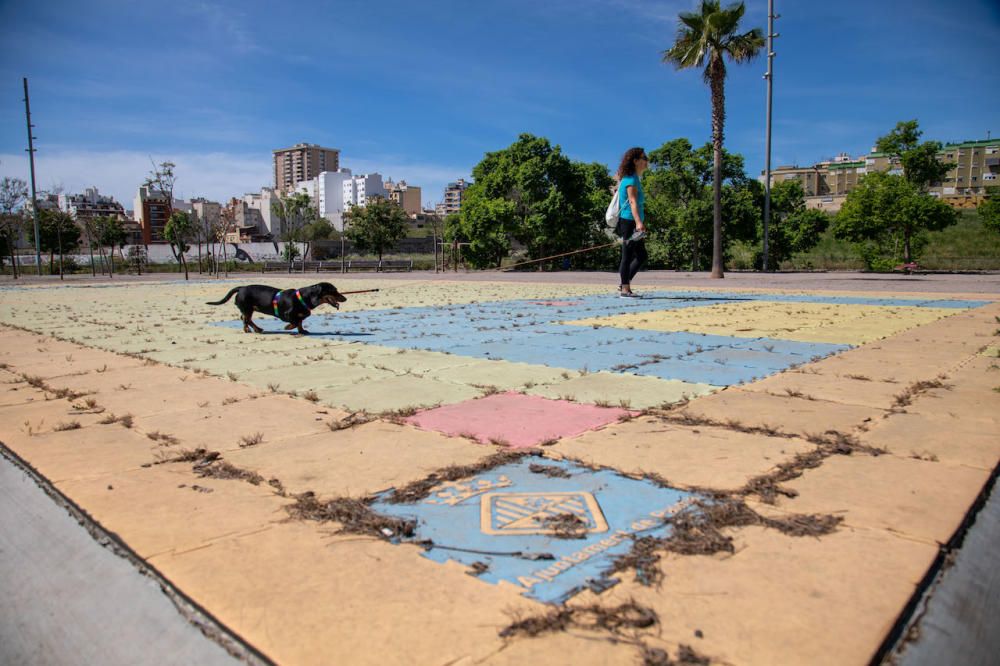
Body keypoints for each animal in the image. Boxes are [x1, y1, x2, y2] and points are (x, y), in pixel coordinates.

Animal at [205, 280, 346, 332]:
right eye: (333, 290)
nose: (345, 298)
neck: (304, 297)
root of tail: (241, 288)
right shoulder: (287, 314)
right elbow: (295, 321)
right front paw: (288, 327)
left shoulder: (302, 315)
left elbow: (300, 322)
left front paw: (302, 331)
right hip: (248, 308)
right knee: (246, 319)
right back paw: (251, 329)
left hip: (248, 309)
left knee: (245, 318)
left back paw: (255, 329)